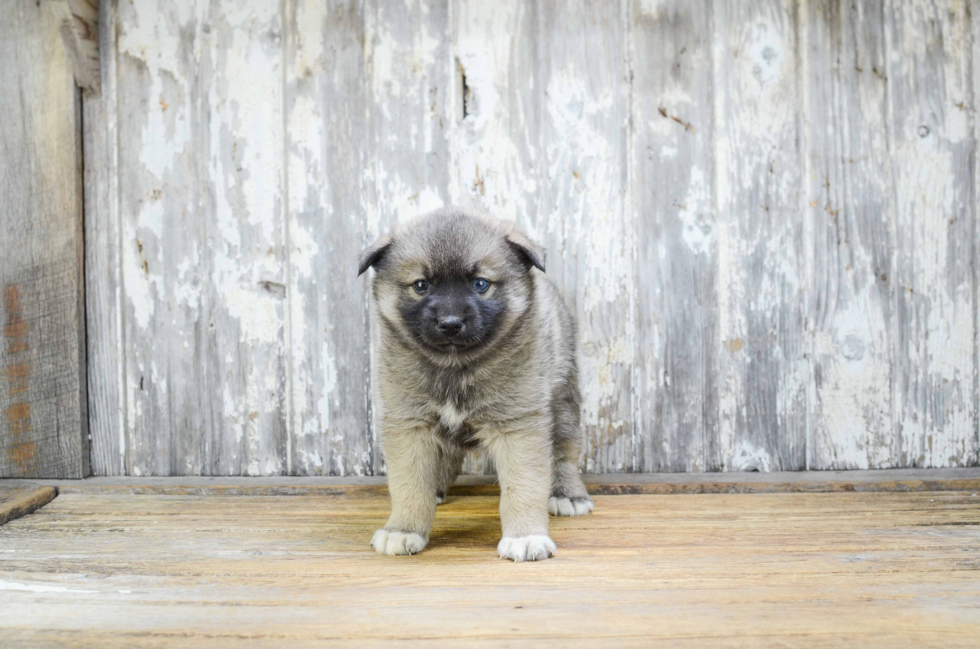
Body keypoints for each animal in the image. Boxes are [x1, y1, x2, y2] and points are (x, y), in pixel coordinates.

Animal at [358, 208, 592, 560]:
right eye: (421, 285)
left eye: (480, 284)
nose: (450, 323)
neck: (455, 366)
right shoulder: (410, 423)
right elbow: (409, 484)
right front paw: (404, 528)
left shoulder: (516, 425)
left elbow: (523, 487)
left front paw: (525, 536)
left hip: (562, 400)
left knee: (564, 453)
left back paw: (568, 494)